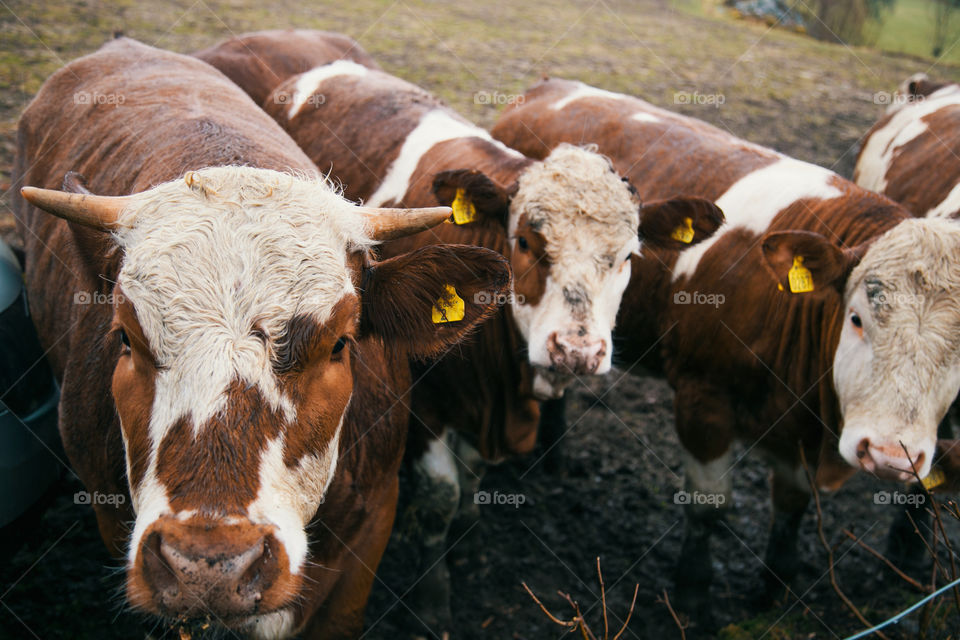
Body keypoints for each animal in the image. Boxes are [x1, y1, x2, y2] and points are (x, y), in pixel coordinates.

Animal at [199, 34, 715, 630]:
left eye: (628, 256)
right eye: (526, 243)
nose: (576, 350)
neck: (498, 386)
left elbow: (470, 479)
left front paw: (467, 530)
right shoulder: (421, 403)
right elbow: (439, 499)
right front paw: (433, 596)